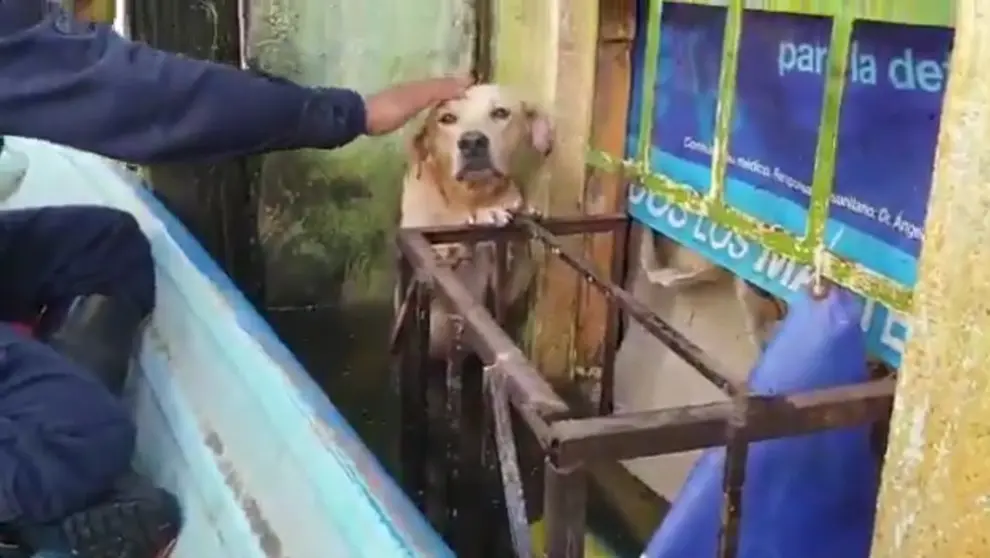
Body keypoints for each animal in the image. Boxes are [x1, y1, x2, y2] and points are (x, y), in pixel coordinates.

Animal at [398, 86, 556, 360]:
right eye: (447, 118)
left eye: (500, 112)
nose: (472, 141)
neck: (470, 198)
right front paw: (486, 215)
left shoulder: (508, 283)